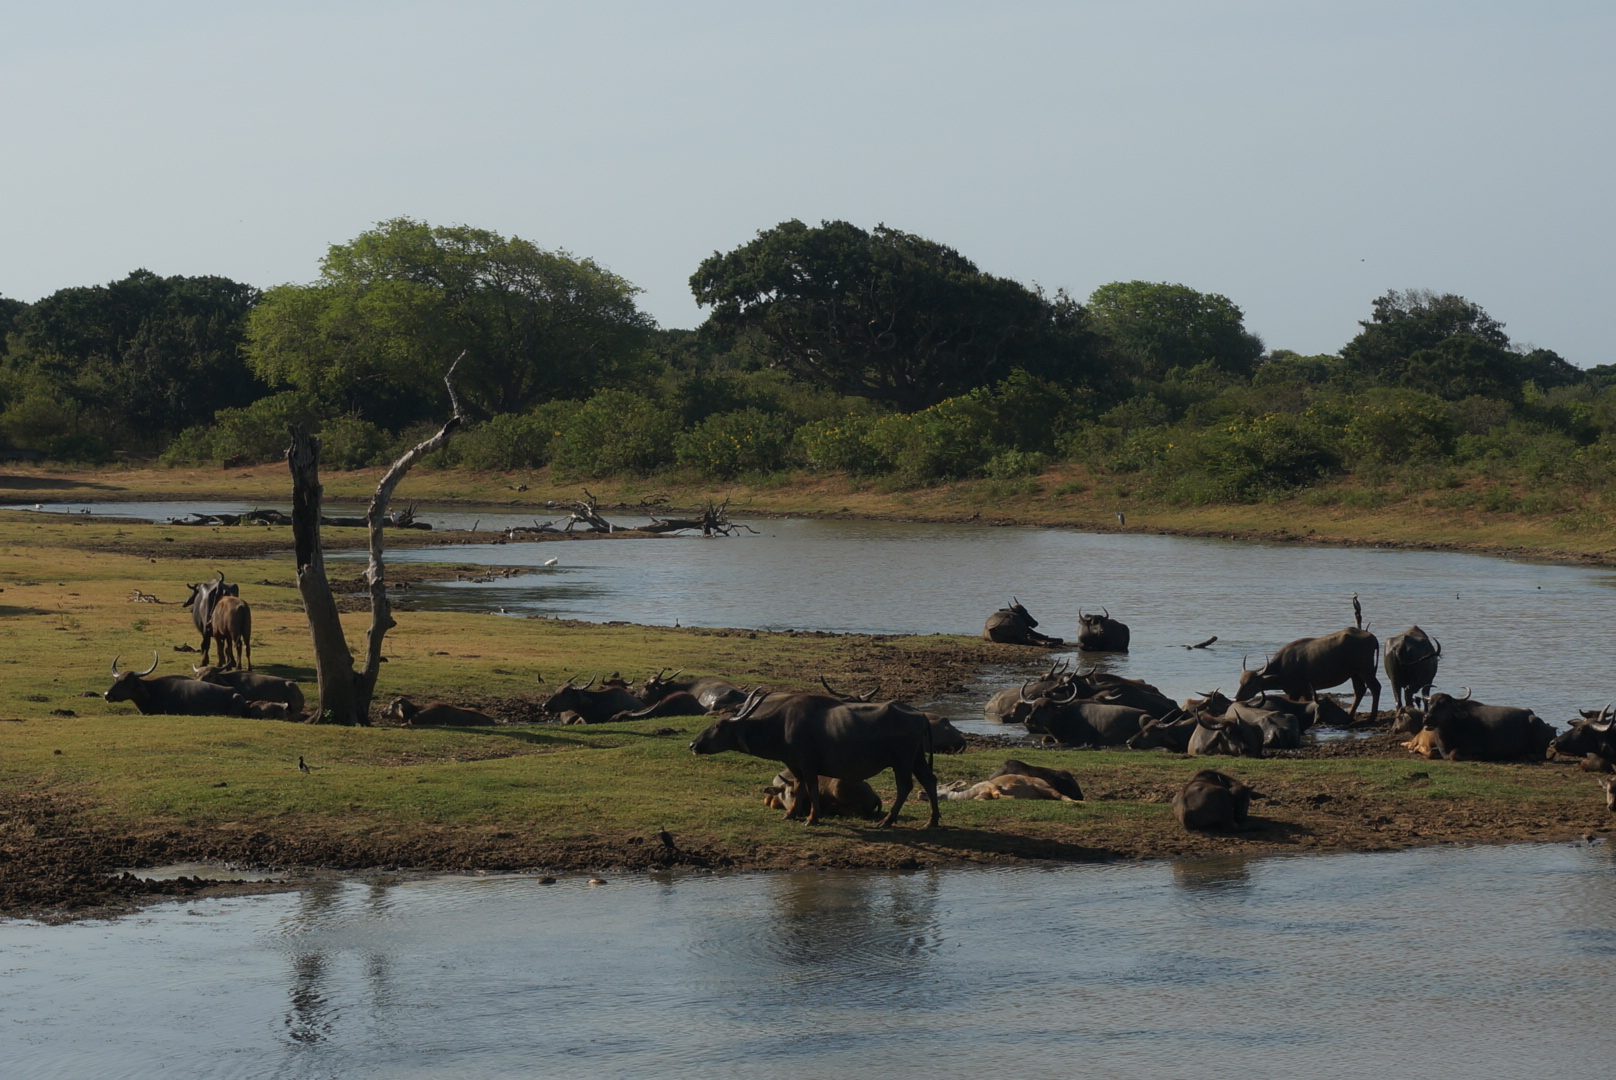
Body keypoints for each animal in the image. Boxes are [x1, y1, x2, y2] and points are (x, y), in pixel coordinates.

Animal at [1422, 688, 1557, 763]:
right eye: (1430, 703)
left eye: (1444, 704)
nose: (1427, 718)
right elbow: (1429, 752)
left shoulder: (1474, 746)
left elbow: (1453, 754)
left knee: (1540, 755)